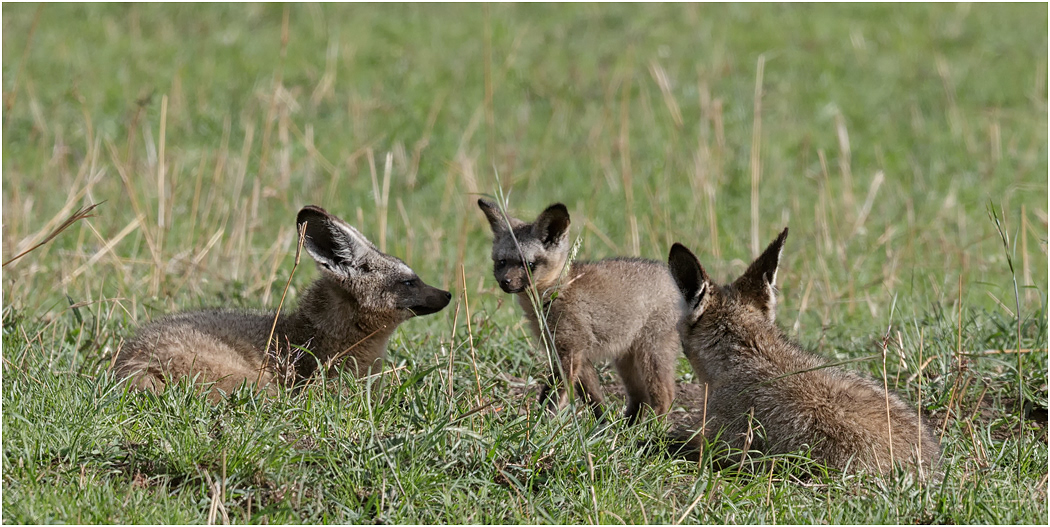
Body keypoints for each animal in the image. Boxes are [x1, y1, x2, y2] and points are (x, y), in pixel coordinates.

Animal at [477, 198, 681, 424]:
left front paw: (541, 424)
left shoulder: (570, 351)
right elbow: (594, 399)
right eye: (502, 262)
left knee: (665, 396)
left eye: (529, 264)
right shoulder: (574, 354)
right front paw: (603, 426)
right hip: (626, 360)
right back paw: (629, 428)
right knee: (641, 397)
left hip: (651, 354)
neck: (556, 294)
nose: (505, 282)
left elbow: (553, 396)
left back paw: (651, 429)